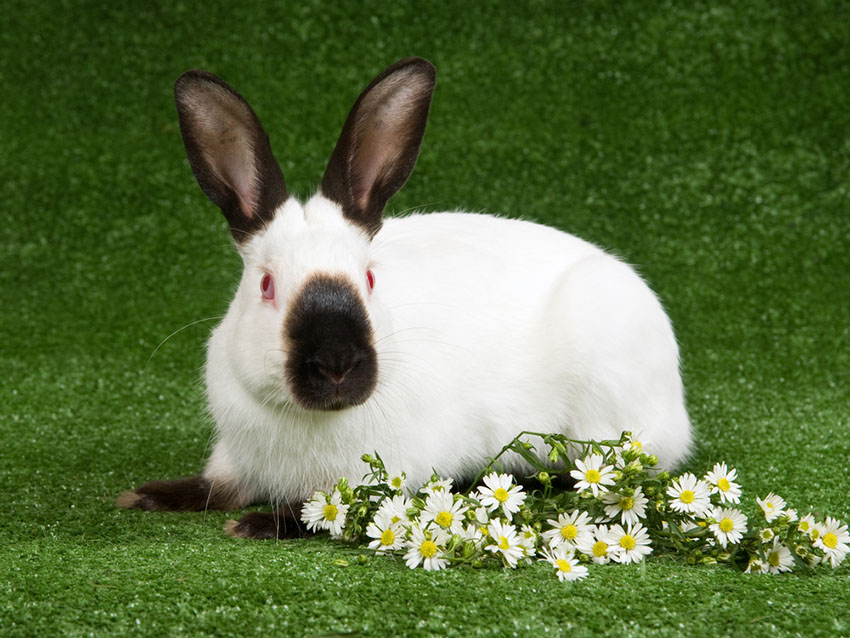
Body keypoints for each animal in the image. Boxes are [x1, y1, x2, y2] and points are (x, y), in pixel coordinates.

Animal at [117, 58, 688, 540]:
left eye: (370, 279)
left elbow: (319, 512)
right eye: (266, 285)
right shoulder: (235, 458)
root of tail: (678, 412)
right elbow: (213, 487)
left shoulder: (377, 476)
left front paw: (257, 524)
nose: (336, 365)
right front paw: (145, 496)